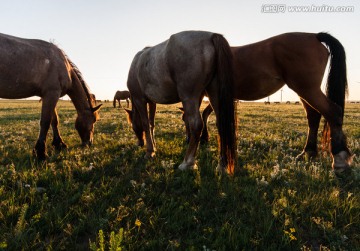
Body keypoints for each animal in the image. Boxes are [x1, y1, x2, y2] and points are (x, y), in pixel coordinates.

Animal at [125, 30, 238, 174]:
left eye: (132, 126)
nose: (140, 143)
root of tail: (211, 36)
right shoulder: (152, 103)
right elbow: (151, 124)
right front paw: (153, 147)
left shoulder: (140, 100)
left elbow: (145, 124)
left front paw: (150, 151)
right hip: (214, 95)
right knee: (221, 123)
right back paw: (222, 165)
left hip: (189, 96)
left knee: (196, 125)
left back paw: (188, 162)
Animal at [191, 31, 352, 173]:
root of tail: (315, 36)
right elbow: (204, 114)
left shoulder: (213, 94)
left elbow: (210, 118)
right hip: (305, 92)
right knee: (314, 116)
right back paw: (308, 152)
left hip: (308, 90)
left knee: (333, 112)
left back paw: (339, 159)